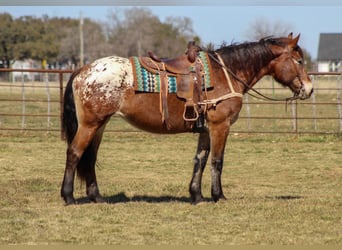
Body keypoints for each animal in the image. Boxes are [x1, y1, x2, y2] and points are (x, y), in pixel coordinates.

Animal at [60, 33, 312, 205]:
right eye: (299, 61)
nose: (309, 89)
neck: (226, 73)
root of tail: (83, 70)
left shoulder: (206, 130)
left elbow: (200, 160)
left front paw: (196, 195)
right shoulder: (220, 126)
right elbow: (217, 161)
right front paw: (218, 196)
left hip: (99, 125)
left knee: (90, 157)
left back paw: (97, 197)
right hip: (90, 125)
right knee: (74, 153)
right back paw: (68, 196)